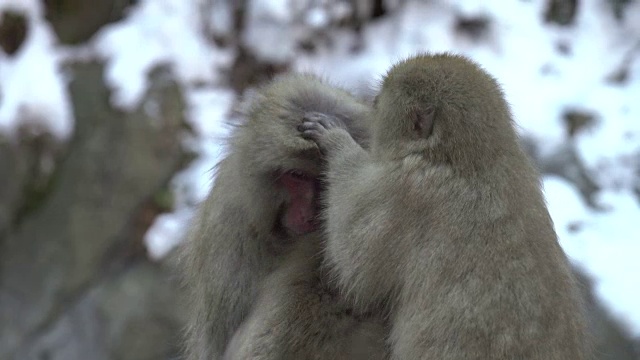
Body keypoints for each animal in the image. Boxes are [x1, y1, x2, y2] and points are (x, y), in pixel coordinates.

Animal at [300, 54, 592, 360]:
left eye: (380, 103)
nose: (374, 101)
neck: (468, 158)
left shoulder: (404, 192)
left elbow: (353, 266)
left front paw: (335, 140)